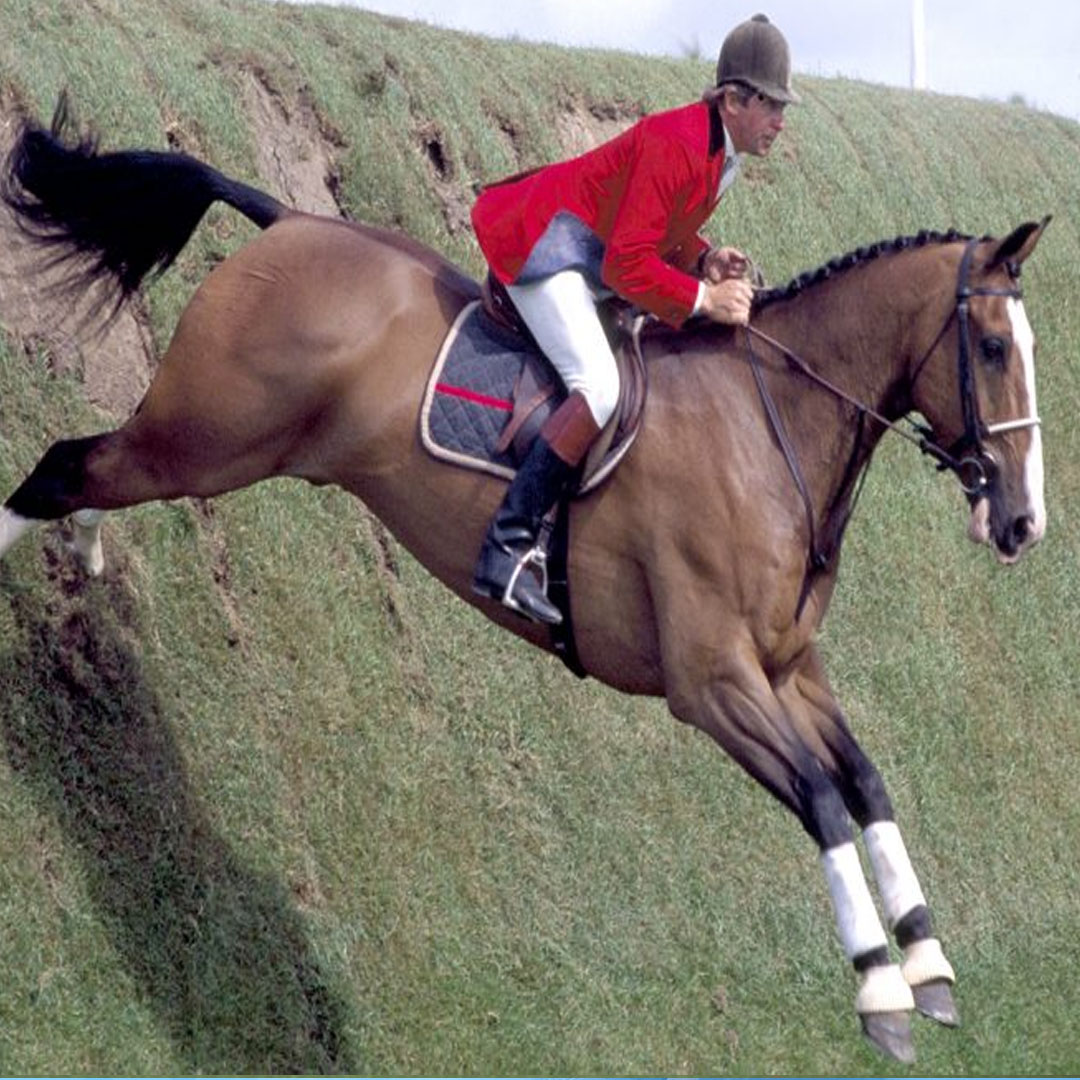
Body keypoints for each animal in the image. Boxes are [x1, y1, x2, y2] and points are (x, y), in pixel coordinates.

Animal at [0, 103, 1045, 1062]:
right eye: (995, 349)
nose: (1023, 524)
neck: (769, 422)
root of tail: (289, 221)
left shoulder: (789, 669)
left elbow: (864, 782)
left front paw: (927, 963)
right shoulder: (711, 683)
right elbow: (823, 799)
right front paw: (880, 989)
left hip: (208, 445)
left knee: (89, 471)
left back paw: (87, 547)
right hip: (210, 437)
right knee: (64, 466)